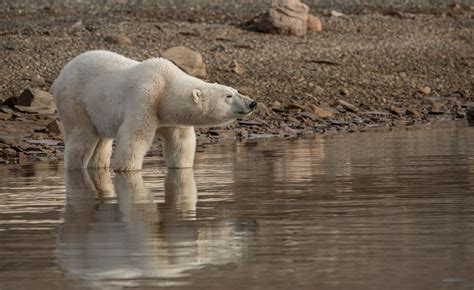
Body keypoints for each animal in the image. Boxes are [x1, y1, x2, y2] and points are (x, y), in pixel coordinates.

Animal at [51, 50, 256, 171]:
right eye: (228, 95)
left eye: (236, 90)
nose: (252, 103)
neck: (165, 86)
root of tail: (61, 74)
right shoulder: (145, 98)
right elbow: (134, 137)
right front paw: (126, 169)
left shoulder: (173, 118)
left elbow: (181, 143)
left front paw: (182, 167)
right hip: (75, 101)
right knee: (81, 138)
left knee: (102, 142)